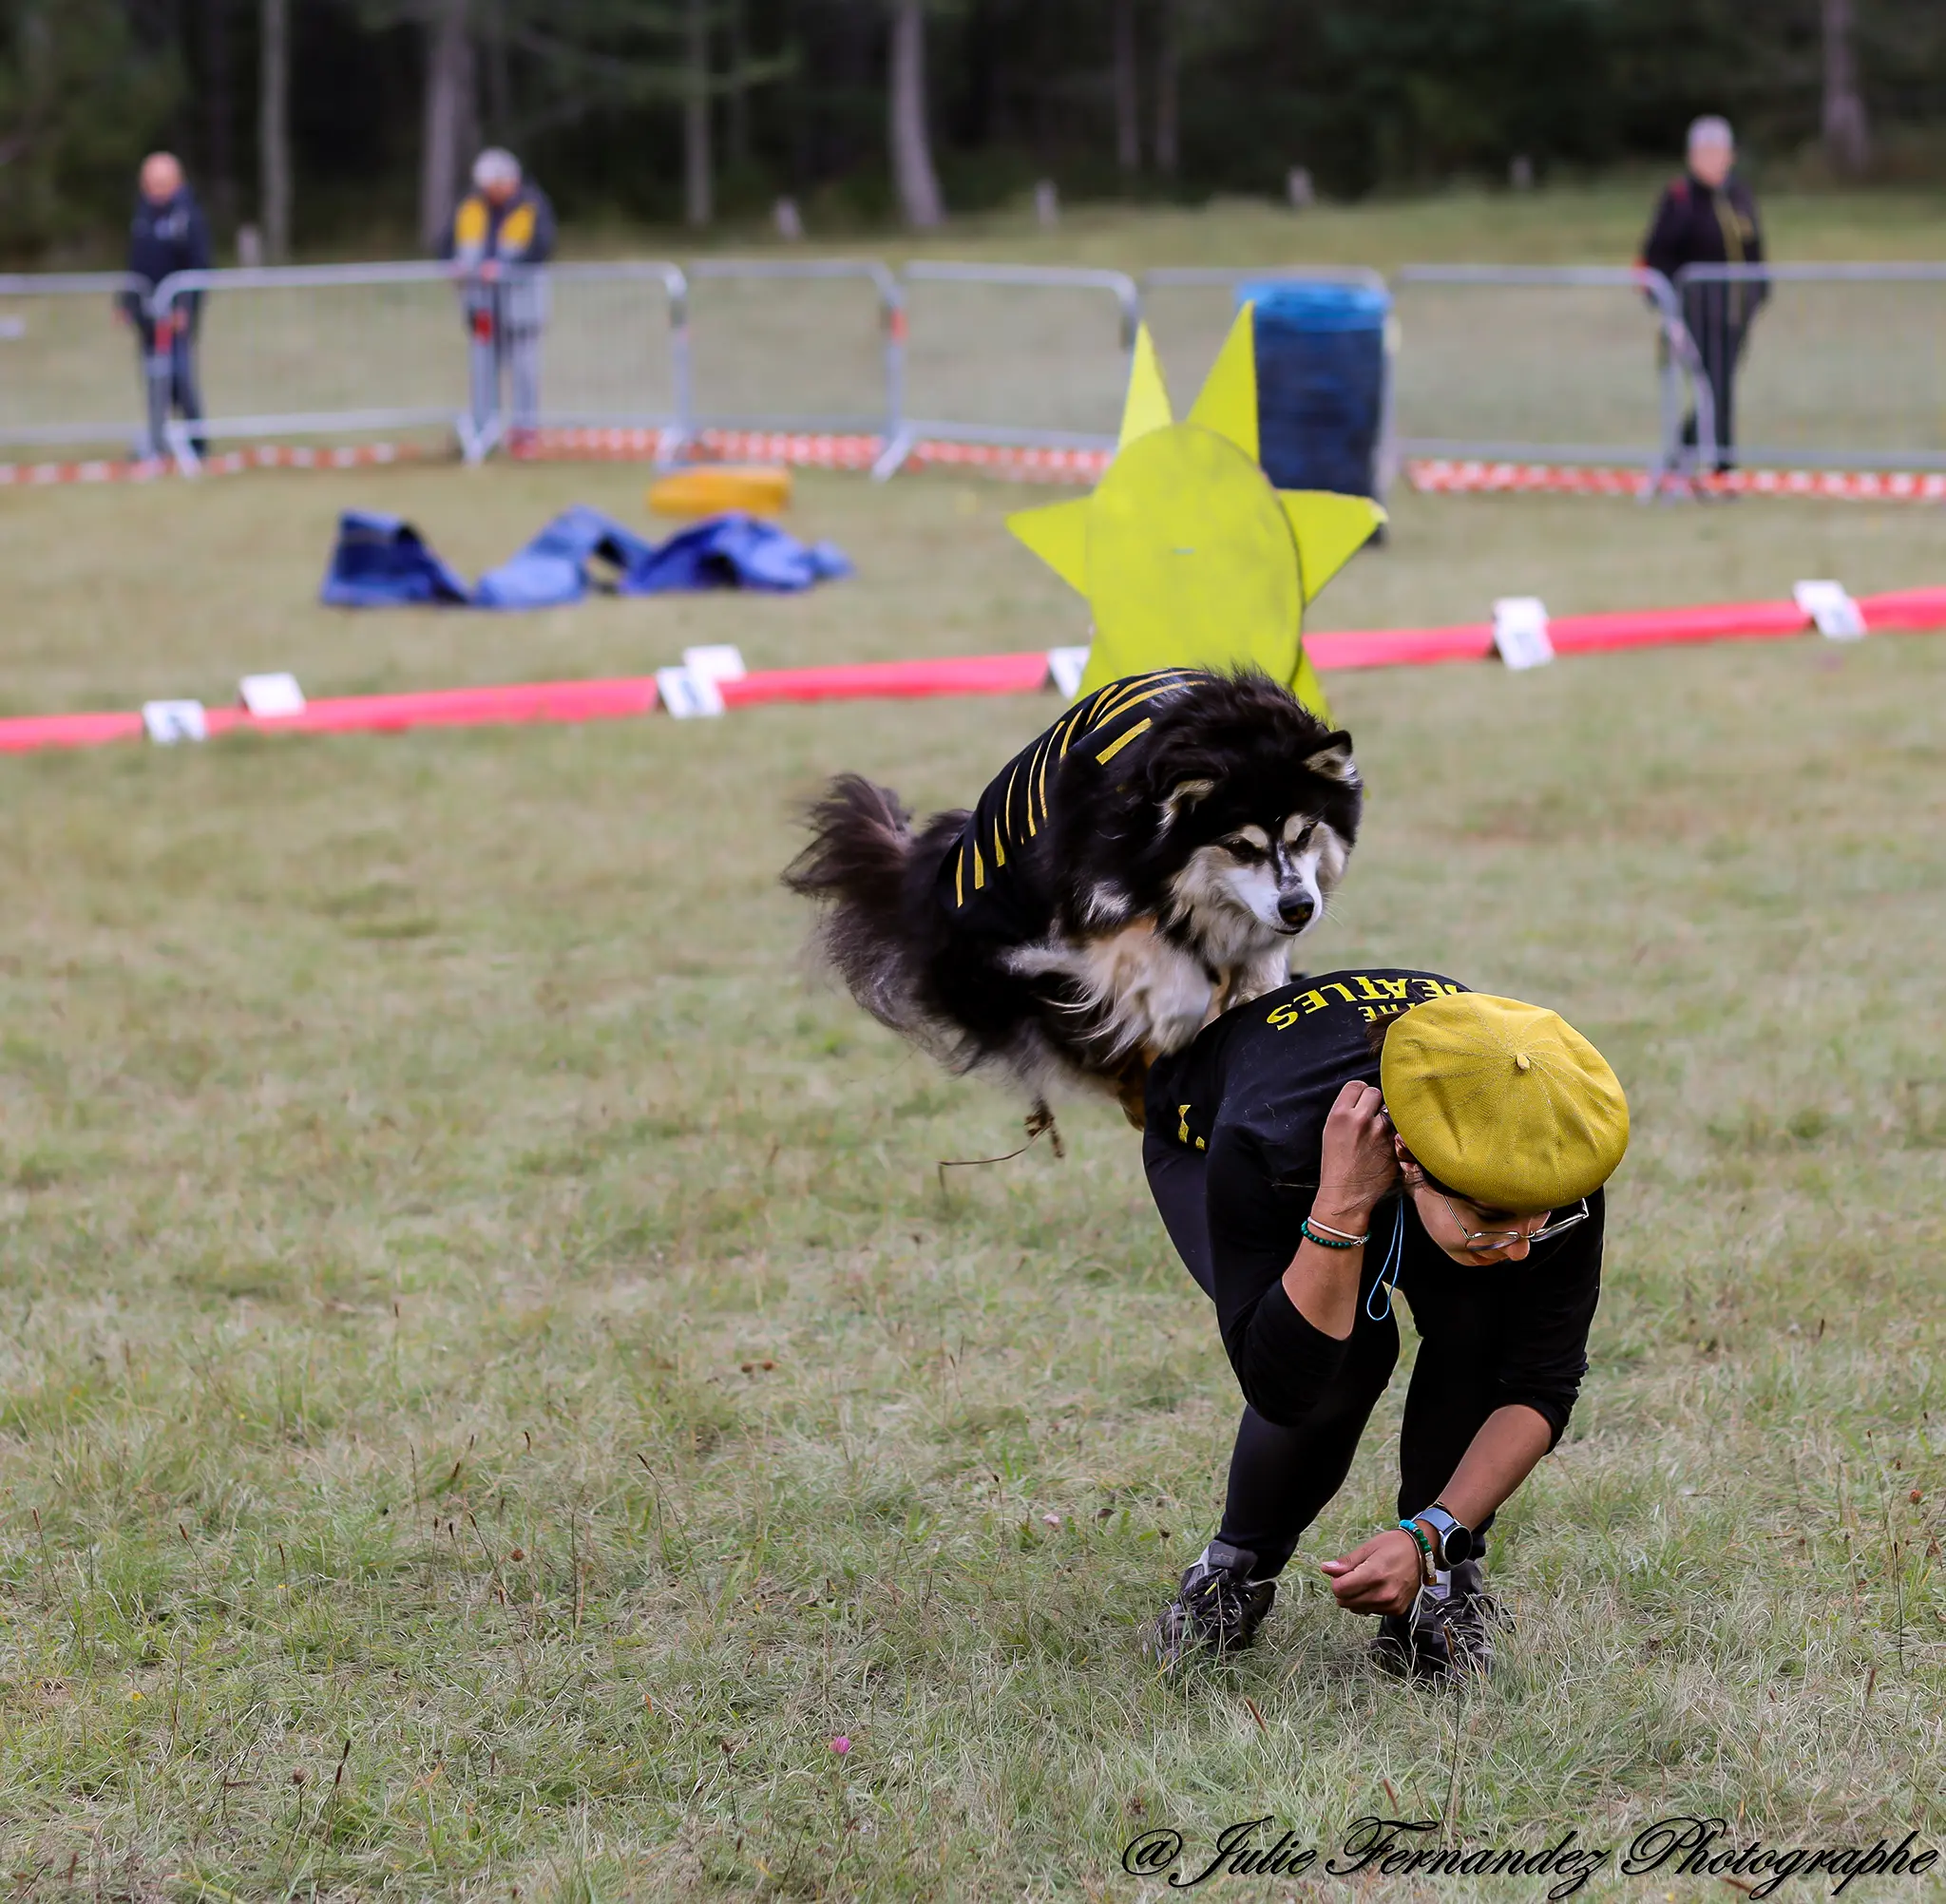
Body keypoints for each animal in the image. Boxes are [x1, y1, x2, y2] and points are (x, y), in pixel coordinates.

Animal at [782, 665, 1362, 1128]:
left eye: (1305, 833)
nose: (1299, 909)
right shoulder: (1088, 904)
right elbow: (1154, 966)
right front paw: (1176, 1021)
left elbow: (1260, 977)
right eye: (1240, 846)